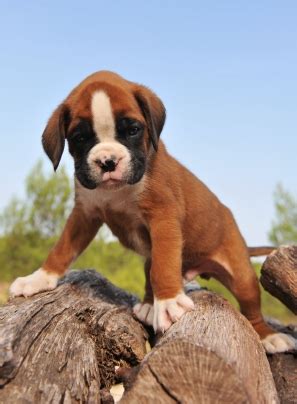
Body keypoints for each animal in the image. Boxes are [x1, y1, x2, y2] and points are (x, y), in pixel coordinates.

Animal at [9, 71, 294, 352]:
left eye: (133, 130)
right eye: (80, 138)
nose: (107, 161)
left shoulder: (163, 218)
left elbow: (163, 265)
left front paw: (168, 302)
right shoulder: (85, 215)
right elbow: (62, 249)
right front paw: (39, 278)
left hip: (241, 275)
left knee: (251, 308)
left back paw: (269, 336)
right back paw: (148, 304)